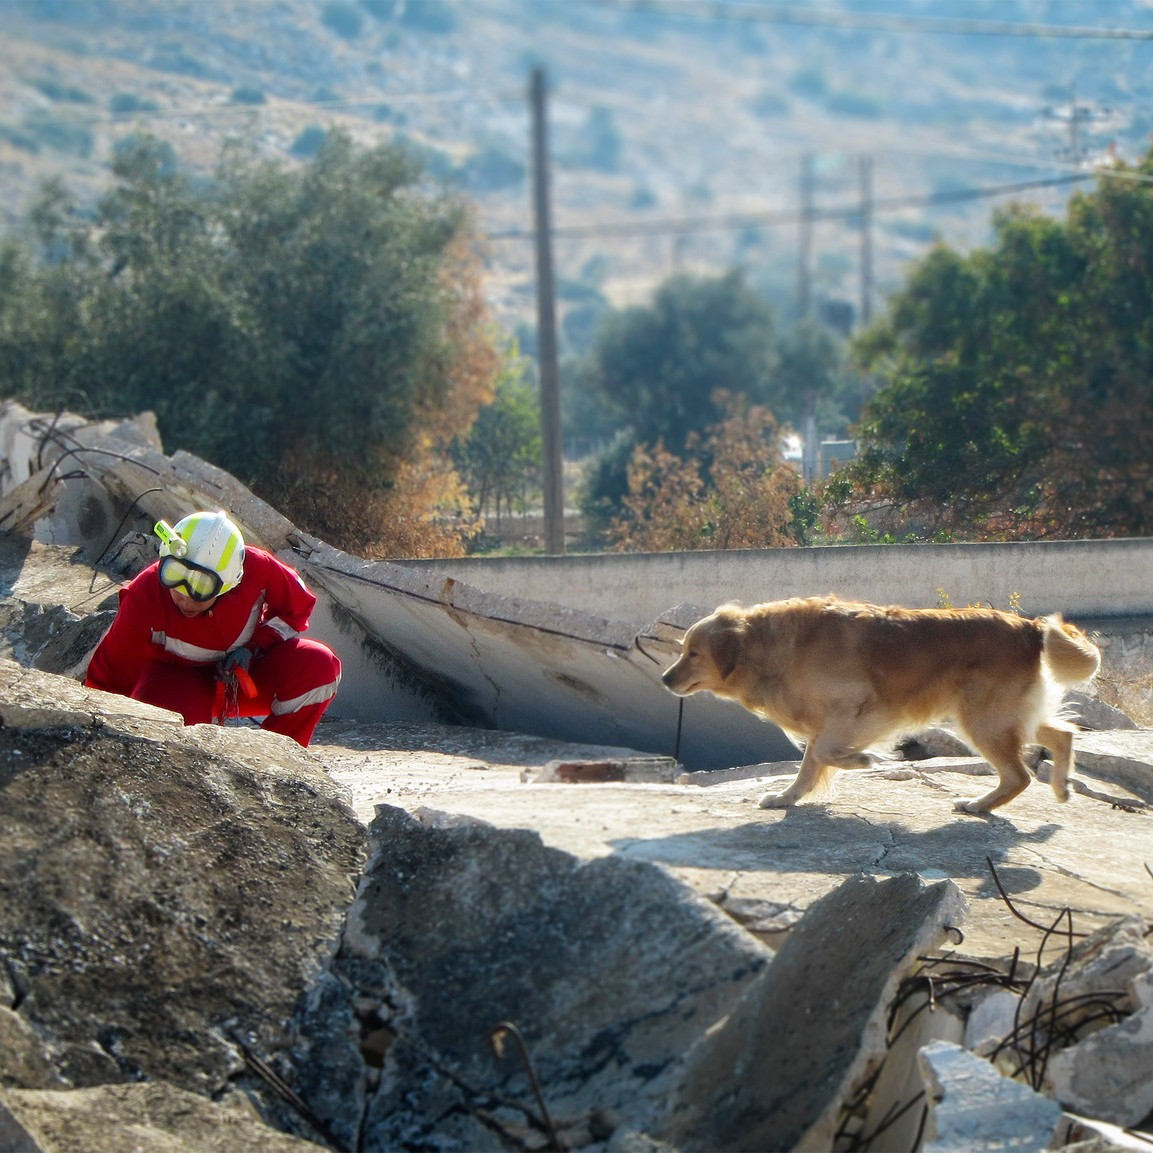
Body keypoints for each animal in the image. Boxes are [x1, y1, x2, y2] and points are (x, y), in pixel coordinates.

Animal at [659, 599, 1097, 816]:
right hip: (1003, 715)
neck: (770, 645)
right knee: (1062, 734)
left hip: (982, 719)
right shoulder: (826, 721)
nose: (664, 679)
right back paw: (1061, 786)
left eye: (693, 653)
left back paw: (978, 805)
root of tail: (1031, 627)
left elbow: (823, 754)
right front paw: (787, 797)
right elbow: (809, 766)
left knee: (1019, 776)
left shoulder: (861, 708)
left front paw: (863, 760)